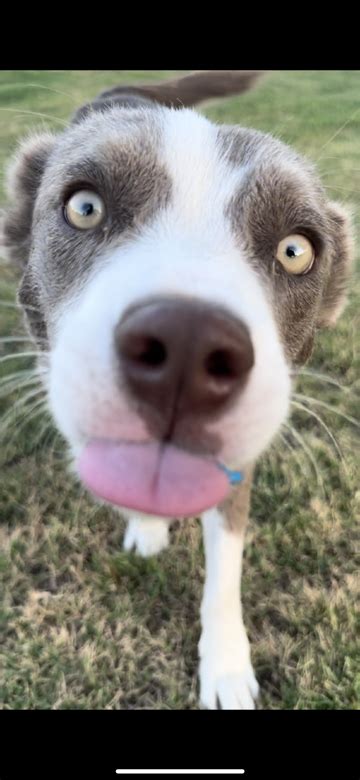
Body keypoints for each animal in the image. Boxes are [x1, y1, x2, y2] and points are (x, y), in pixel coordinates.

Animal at [1, 71, 352, 708]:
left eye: (296, 250)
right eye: (85, 207)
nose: (188, 348)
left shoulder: (236, 468)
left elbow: (224, 574)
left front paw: (226, 666)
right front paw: (145, 524)